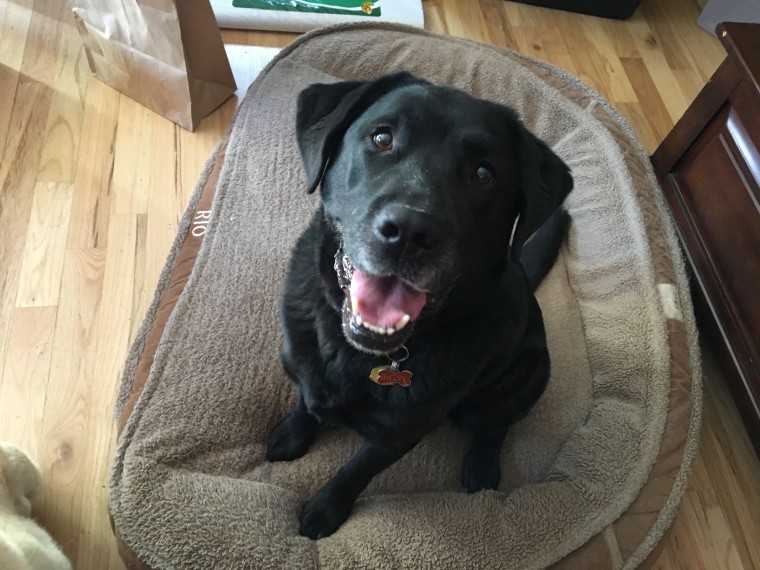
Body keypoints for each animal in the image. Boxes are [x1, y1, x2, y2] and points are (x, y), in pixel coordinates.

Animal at [268, 71, 568, 536]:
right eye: (382, 137)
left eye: (484, 173)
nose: (409, 231)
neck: (356, 352)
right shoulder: (306, 368)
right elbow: (306, 400)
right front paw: (291, 434)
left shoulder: (396, 437)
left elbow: (353, 472)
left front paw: (325, 511)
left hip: (522, 378)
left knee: (495, 425)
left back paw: (482, 467)